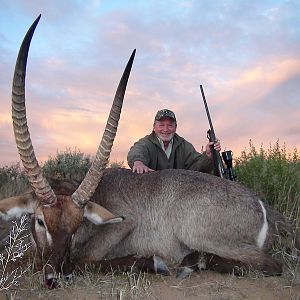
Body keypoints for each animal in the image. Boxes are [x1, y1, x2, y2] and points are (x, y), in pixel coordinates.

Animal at [1, 15, 298, 288]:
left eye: (76, 225)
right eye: (39, 221)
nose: (55, 276)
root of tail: (263, 207)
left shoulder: (123, 224)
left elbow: (86, 261)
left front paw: (152, 262)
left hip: (200, 234)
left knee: (270, 264)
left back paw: (192, 263)